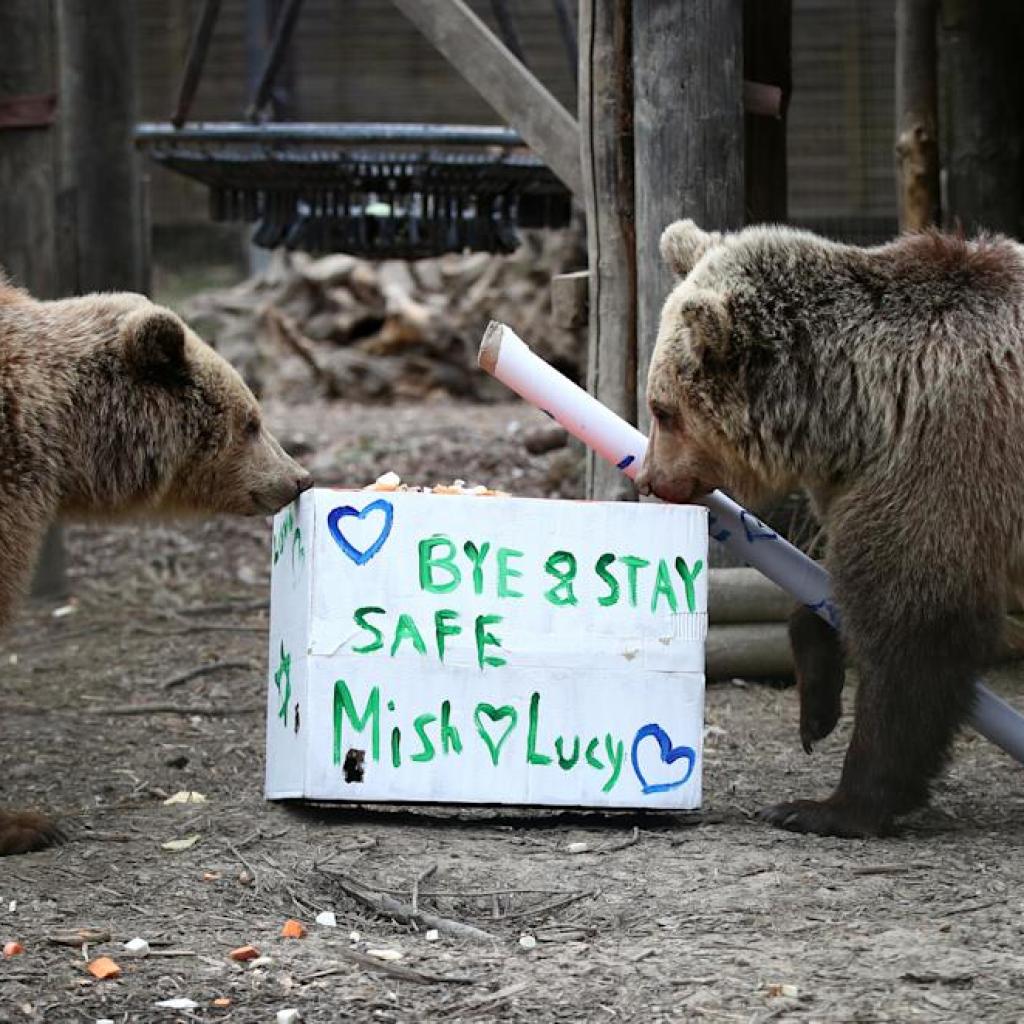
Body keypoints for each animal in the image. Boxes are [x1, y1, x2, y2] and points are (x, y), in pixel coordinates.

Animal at [635, 218, 1024, 837]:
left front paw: (827, 805)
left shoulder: (948, 454)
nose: (650, 477)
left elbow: (915, 626)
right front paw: (816, 707)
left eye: (662, 409)